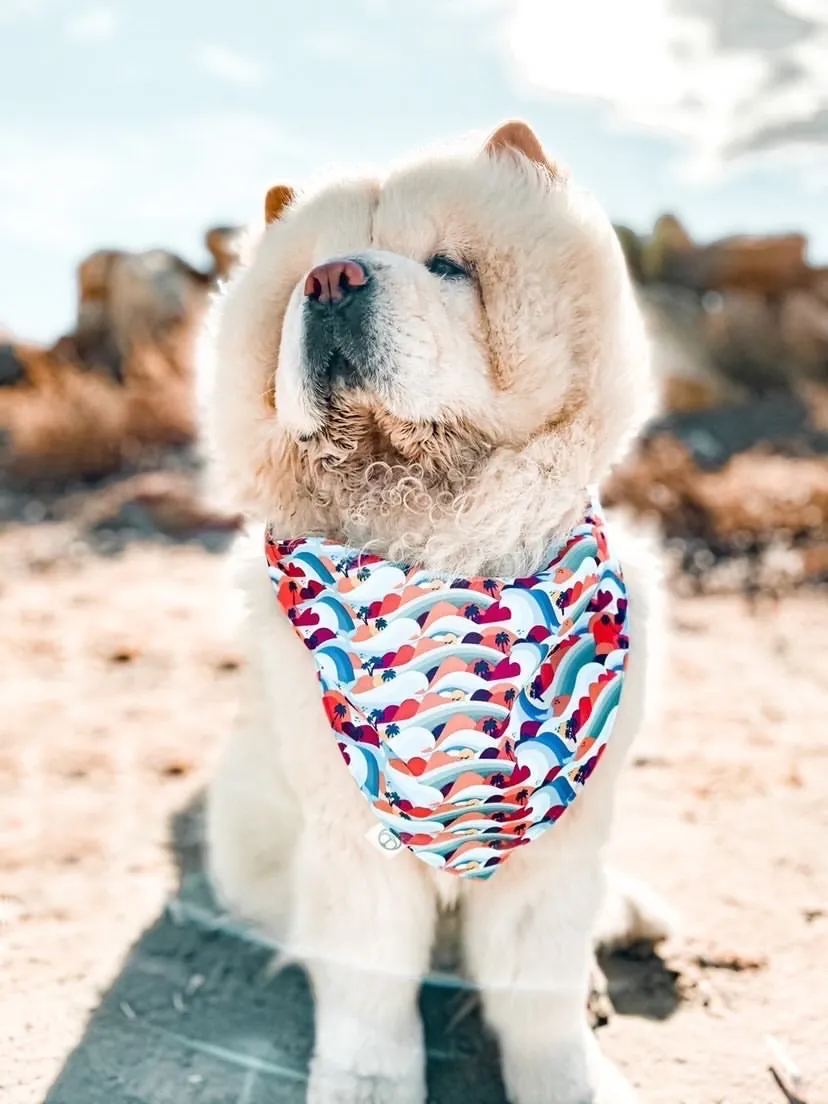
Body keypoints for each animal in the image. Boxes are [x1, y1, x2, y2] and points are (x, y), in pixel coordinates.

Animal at [200, 120, 675, 1104]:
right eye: (302, 277)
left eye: (449, 267)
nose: (331, 279)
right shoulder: (356, 842)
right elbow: (371, 997)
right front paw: (365, 1085)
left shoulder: (550, 857)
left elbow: (540, 1002)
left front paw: (568, 1076)